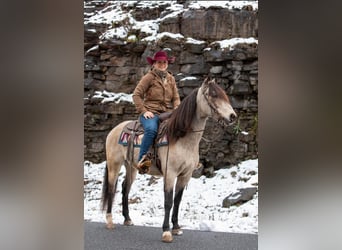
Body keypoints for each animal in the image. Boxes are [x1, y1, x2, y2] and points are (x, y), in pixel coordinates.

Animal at [100, 77, 236, 242]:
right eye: (214, 95)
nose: (232, 116)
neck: (180, 137)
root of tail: (114, 130)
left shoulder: (185, 175)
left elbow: (177, 201)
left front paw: (176, 228)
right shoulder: (170, 173)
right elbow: (168, 201)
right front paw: (166, 231)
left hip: (131, 167)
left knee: (125, 188)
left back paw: (127, 219)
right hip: (114, 165)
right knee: (111, 188)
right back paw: (109, 220)